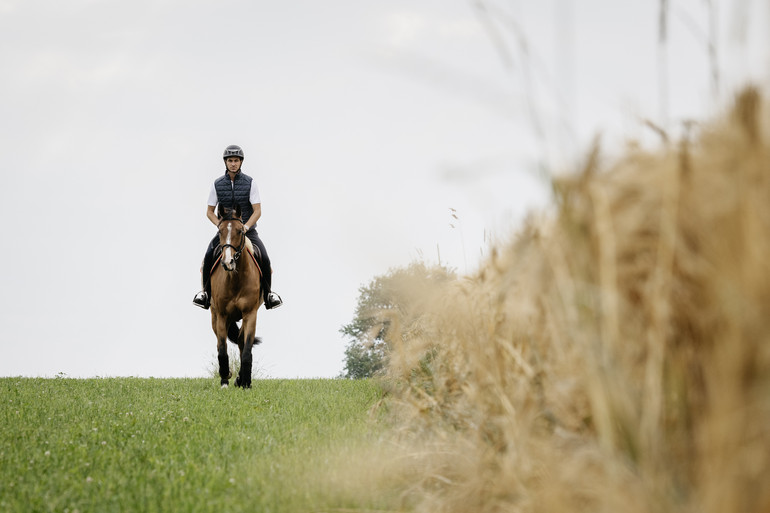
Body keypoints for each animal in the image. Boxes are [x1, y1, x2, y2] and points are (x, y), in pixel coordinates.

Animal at [208, 203, 262, 384]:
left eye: (240, 231)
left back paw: (240, 378)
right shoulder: (222, 315)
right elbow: (222, 348)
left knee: (239, 341)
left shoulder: (250, 313)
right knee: (221, 342)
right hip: (215, 315)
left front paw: (245, 382)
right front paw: (225, 379)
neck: (236, 279)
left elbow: (246, 348)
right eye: (220, 231)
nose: (228, 262)